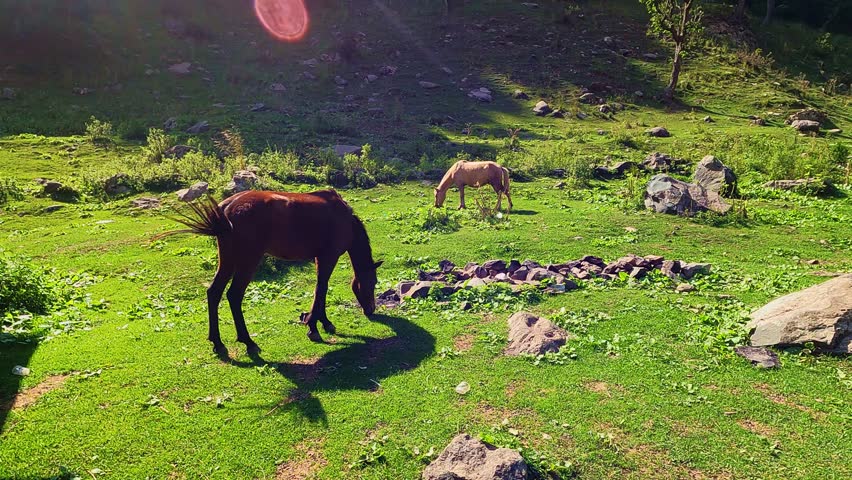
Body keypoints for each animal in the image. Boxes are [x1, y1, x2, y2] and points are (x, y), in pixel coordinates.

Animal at [157, 189, 382, 354]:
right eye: (373, 282)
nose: (371, 309)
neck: (344, 218)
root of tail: (228, 206)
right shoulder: (329, 257)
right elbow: (321, 289)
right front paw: (314, 327)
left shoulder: (321, 258)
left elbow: (321, 290)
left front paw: (322, 322)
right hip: (248, 261)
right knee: (234, 295)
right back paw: (248, 341)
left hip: (228, 261)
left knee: (214, 293)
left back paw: (218, 342)